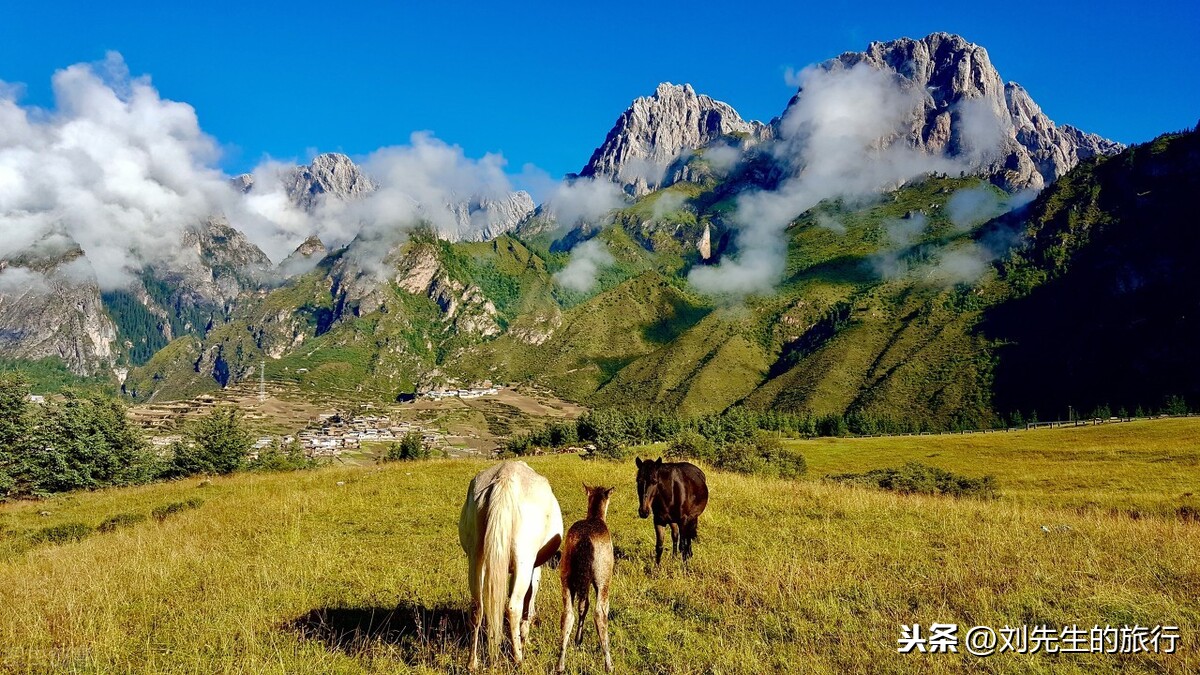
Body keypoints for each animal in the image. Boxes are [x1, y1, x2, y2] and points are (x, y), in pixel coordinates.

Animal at [458, 456, 561, 667]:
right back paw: (518, 659)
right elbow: (529, 599)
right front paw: (525, 637)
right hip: (524, 562)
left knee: (477, 608)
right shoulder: (534, 568)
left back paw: (472, 662)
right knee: (513, 607)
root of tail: (504, 478)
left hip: (476, 559)